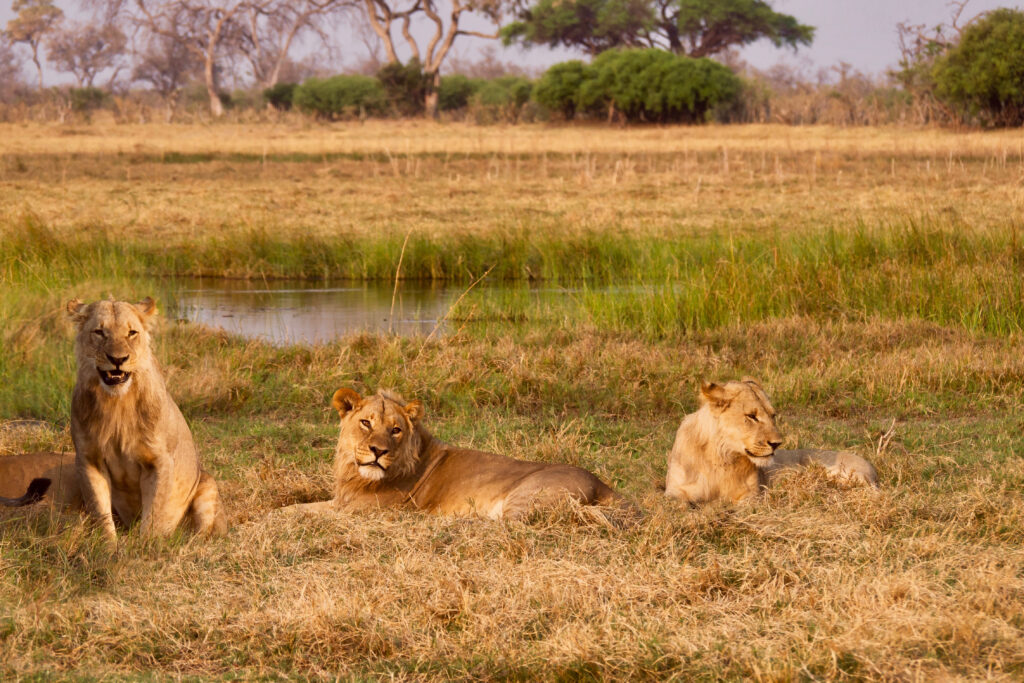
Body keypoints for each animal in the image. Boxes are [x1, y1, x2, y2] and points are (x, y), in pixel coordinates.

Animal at [67, 296, 228, 540]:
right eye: (99, 332)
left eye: (132, 333)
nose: (118, 359)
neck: (117, 404)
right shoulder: (89, 460)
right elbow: (100, 511)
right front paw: (109, 545)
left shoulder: (159, 461)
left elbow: (154, 514)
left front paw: (146, 546)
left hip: (207, 487)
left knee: (201, 531)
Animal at [284, 387, 626, 520]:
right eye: (366, 423)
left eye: (395, 430)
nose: (378, 451)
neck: (354, 474)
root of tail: (600, 482)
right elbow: (298, 506)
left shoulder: (361, 511)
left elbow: (301, 512)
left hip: (525, 497)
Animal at [663, 378, 880, 507]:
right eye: (751, 416)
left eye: (772, 415)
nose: (777, 444)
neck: (721, 457)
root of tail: (873, 469)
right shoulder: (673, 491)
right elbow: (678, 503)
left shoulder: (752, 495)